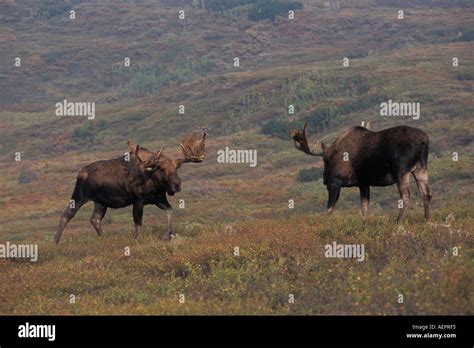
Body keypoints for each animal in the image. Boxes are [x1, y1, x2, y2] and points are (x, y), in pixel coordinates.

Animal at [53, 132, 206, 243]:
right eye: (162, 169)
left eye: (177, 167)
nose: (177, 185)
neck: (153, 182)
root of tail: (80, 173)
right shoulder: (138, 200)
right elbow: (138, 224)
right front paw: (137, 239)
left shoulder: (159, 199)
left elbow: (170, 210)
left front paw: (166, 234)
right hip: (79, 195)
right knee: (66, 214)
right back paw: (55, 242)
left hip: (100, 202)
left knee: (95, 219)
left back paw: (105, 238)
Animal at [290, 122, 432, 223]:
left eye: (325, 161)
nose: (324, 179)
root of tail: (424, 140)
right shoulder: (363, 183)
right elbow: (364, 208)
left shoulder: (335, 181)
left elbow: (329, 208)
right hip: (421, 168)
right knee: (426, 194)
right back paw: (427, 220)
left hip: (401, 171)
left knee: (406, 196)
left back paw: (398, 222)